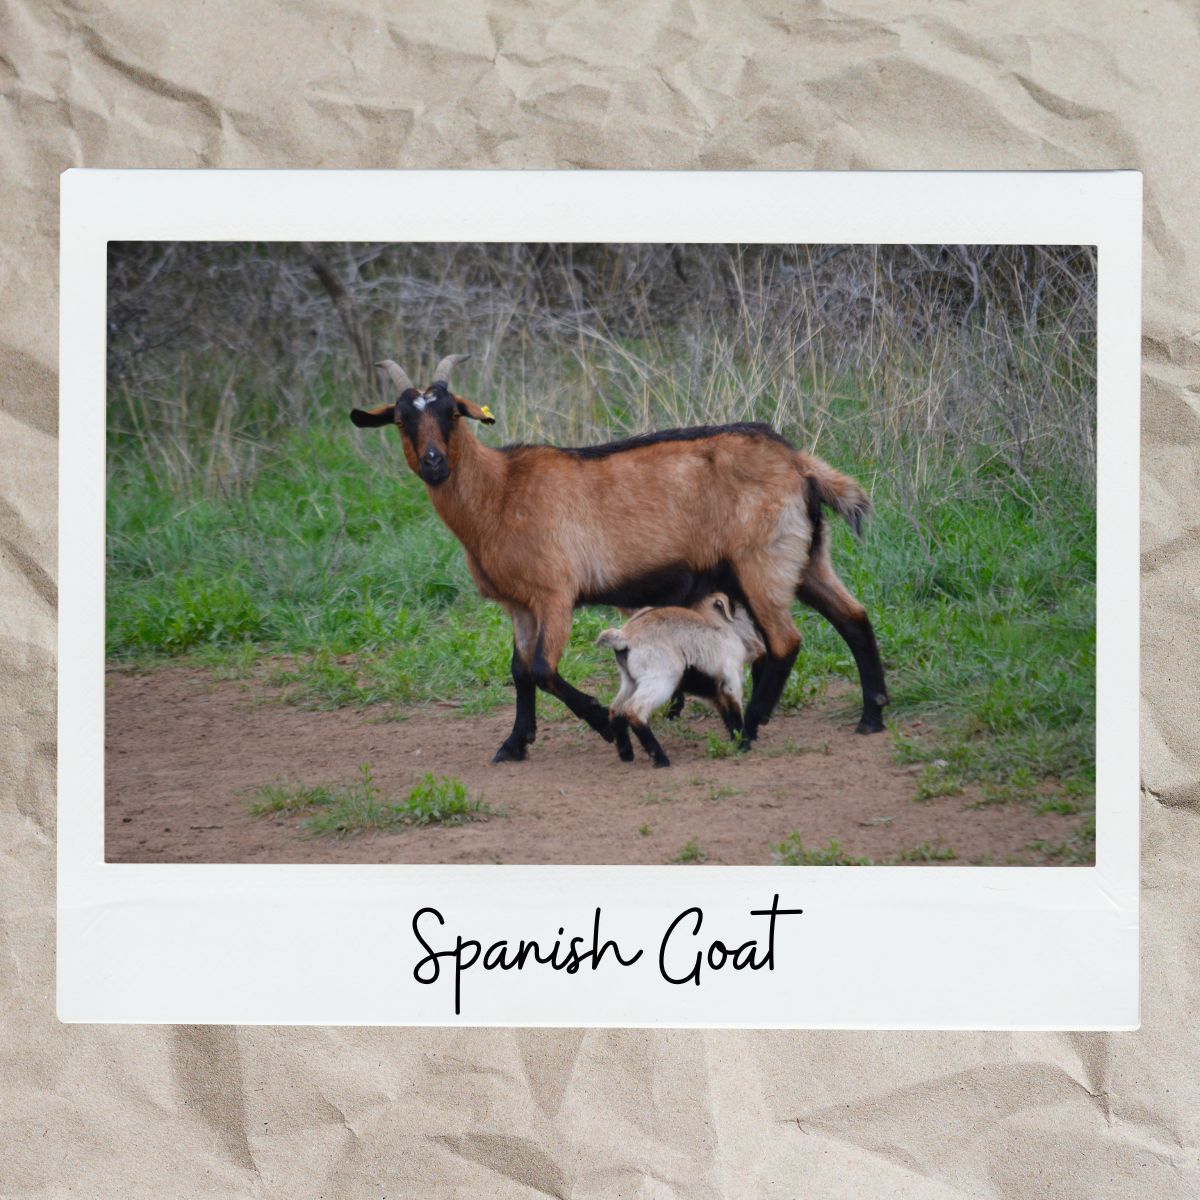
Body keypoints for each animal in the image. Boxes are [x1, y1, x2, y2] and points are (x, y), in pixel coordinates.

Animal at [597, 594, 764, 767]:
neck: (721, 626)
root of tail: (624, 635)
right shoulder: (731, 680)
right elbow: (735, 712)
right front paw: (743, 745)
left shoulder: (714, 692)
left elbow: (727, 716)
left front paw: (735, 741)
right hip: (662, 681)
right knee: (634, 709)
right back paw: (661, 758)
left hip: (630, 681)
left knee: (616, 709)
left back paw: (626, 754)